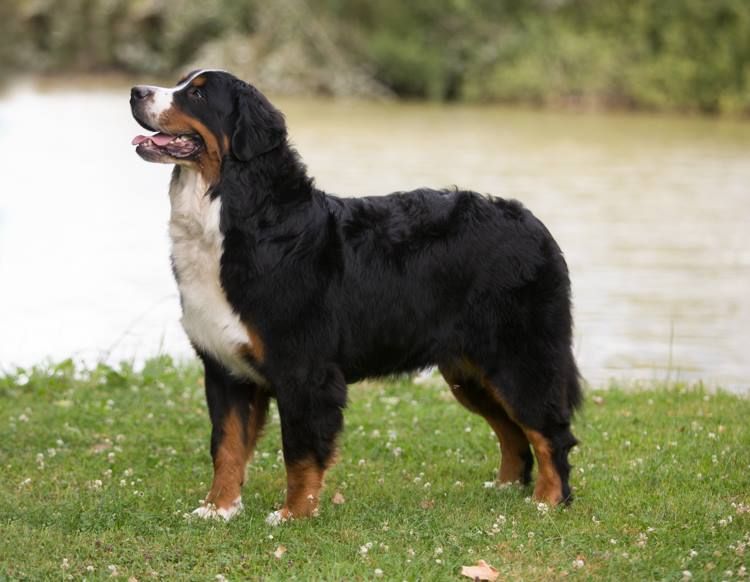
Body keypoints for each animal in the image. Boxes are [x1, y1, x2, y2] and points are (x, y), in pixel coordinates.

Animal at [129, 68, 584, 524]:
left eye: (199, 94)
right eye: (182, 82)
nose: (136, 91)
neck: (234, 217)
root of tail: (533, 224)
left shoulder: (304, 372)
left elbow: (299, 452)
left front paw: (293, 514)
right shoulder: (226, 370)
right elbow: (226, 446)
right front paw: (218, 509)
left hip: (520, 360)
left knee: (549, 431)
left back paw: (548, 501)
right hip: (470, 372)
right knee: (513, 432)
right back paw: (506, 487)